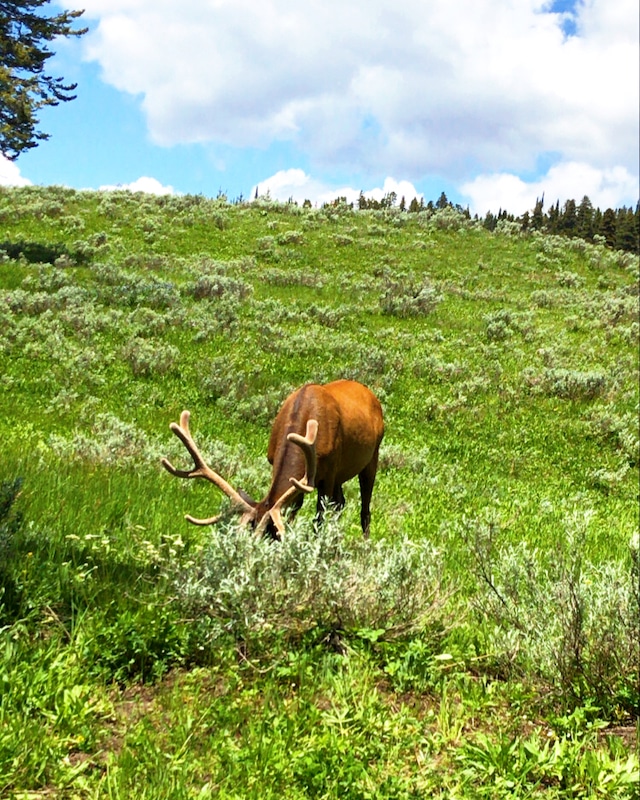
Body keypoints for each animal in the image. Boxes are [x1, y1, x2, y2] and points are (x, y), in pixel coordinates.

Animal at [165, 380, 384, 536]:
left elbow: (319, 518)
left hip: (372, 456)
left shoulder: (328, 472)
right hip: (341, 474)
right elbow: (294, 508)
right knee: (341, 503)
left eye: (269, 535)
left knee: (364, 510)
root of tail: (370, 393)